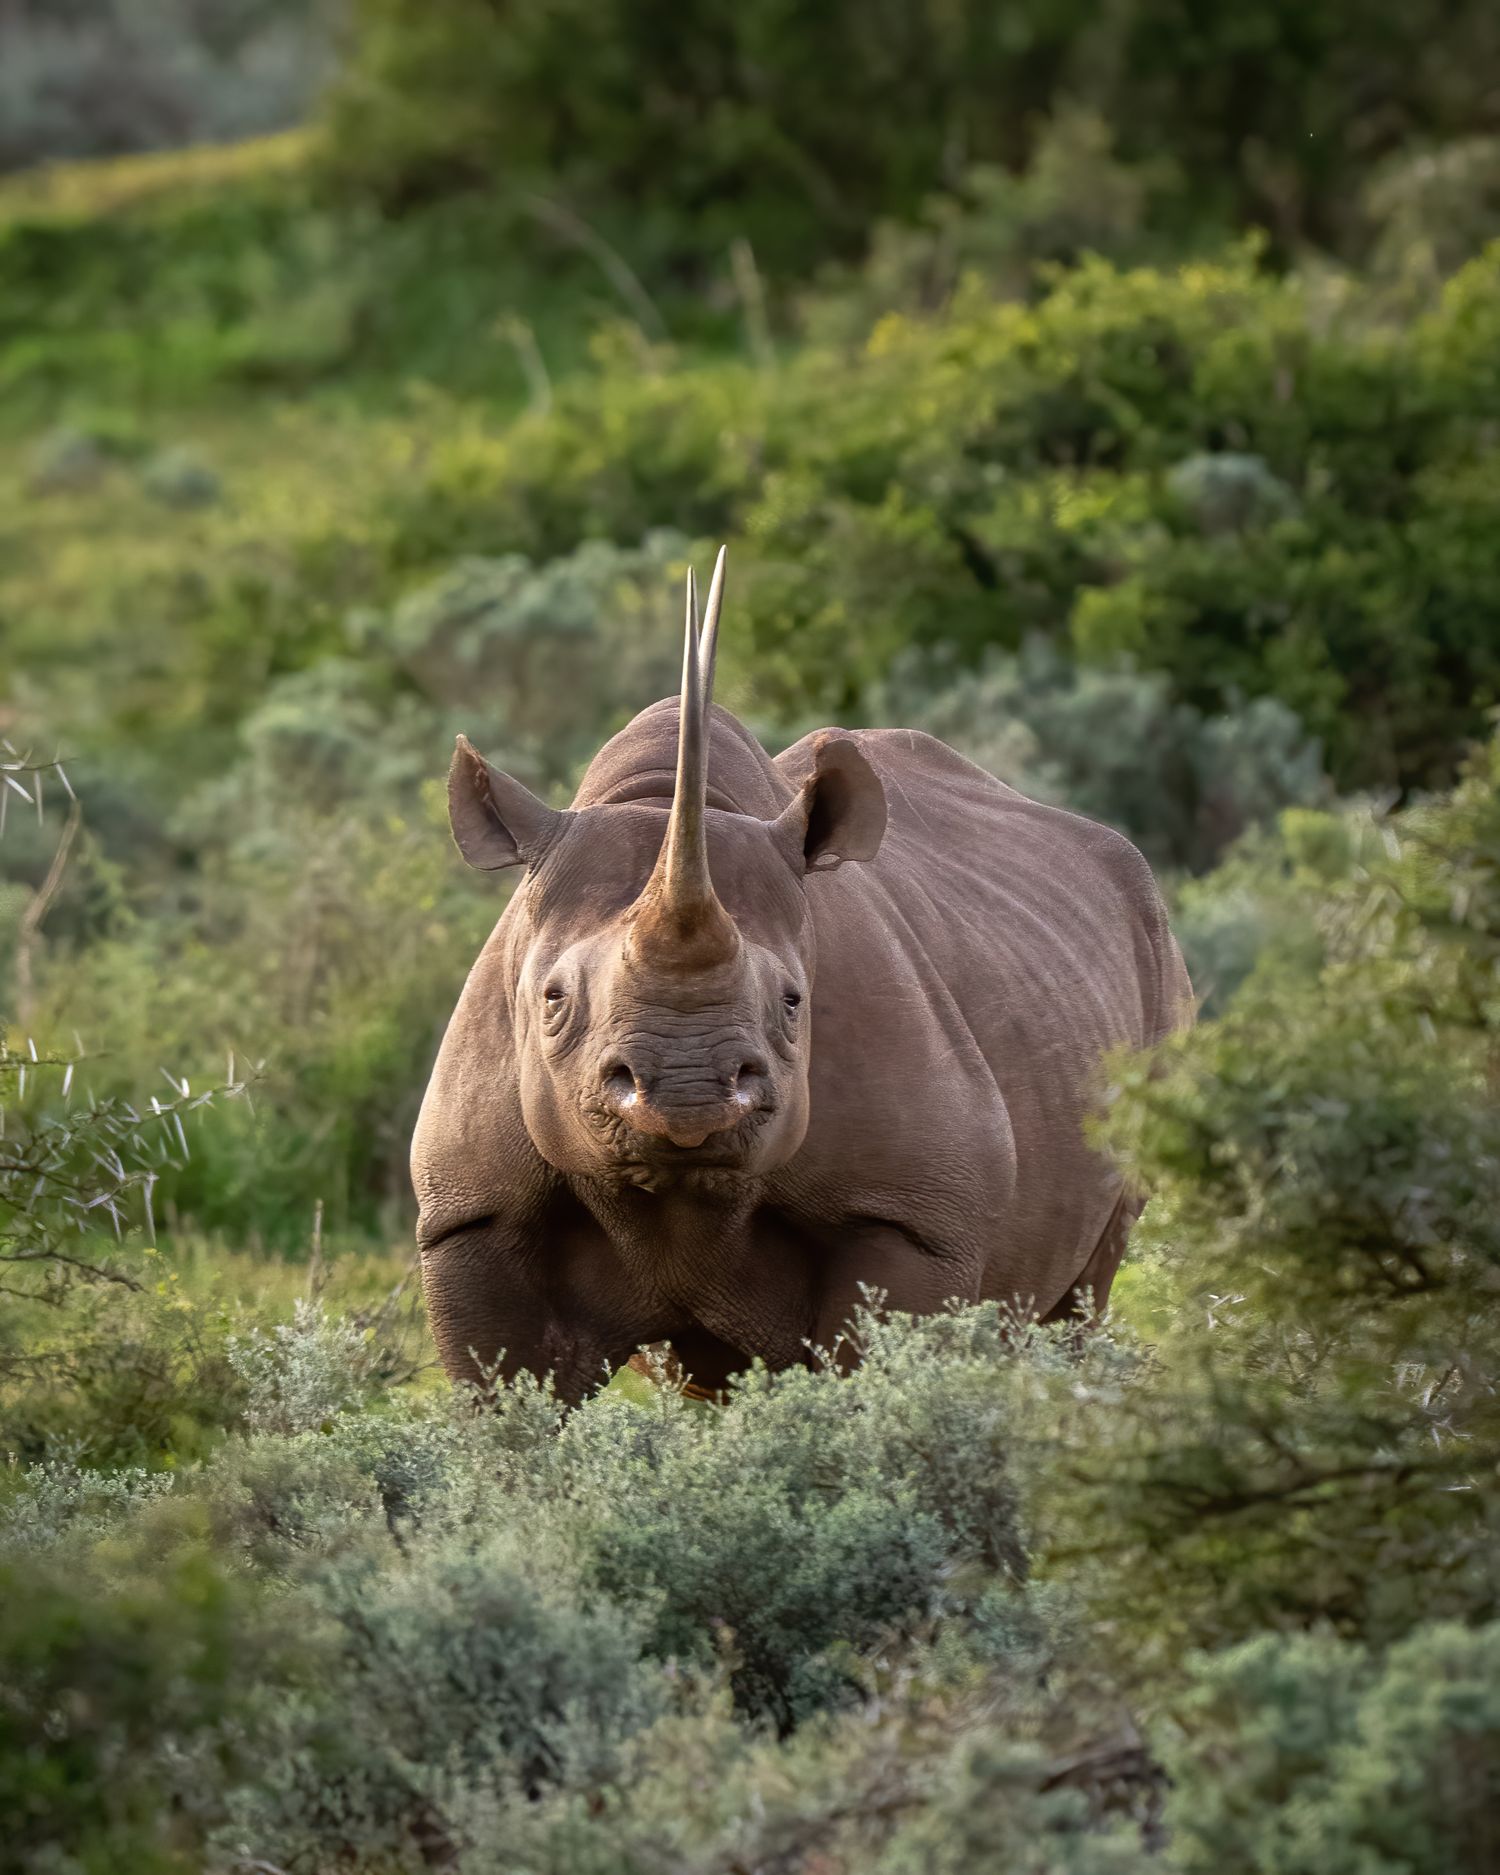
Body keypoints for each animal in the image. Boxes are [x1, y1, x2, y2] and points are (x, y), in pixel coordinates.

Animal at [411, 549, 1192, 1400]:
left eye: (793, 1003)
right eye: (552, 1000)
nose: (687, 1090)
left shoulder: (913, 1213)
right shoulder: (470, 1212)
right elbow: (505, 1398)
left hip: (1155, 965)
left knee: (1086, 1288)